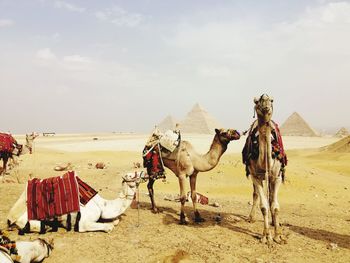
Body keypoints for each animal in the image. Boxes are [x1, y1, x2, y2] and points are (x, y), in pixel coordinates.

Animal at [243, 95, 288, 245]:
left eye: (272, 100)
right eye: (257, 101)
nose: (266, 106)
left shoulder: (277, 177)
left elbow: (275, 205)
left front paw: (278, 235)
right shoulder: (255, 175)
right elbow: (264, 206)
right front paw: (266, 236)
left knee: (271, 197)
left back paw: (274, 222)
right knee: (256, 194)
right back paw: (251, 217)